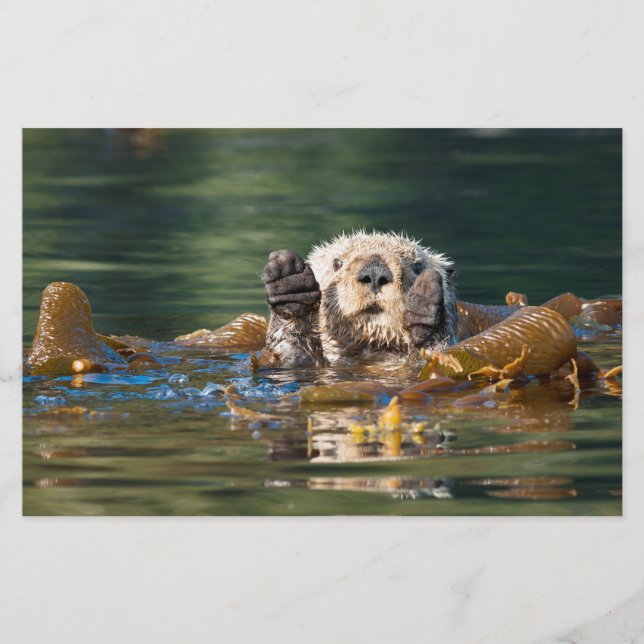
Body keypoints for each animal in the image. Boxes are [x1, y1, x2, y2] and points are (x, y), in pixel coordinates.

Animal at [259, 231, 458, 368]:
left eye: (417, 266)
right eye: (337, 263)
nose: (375, 272)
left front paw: (423, 309)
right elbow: (290, 352)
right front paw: (290, 282)